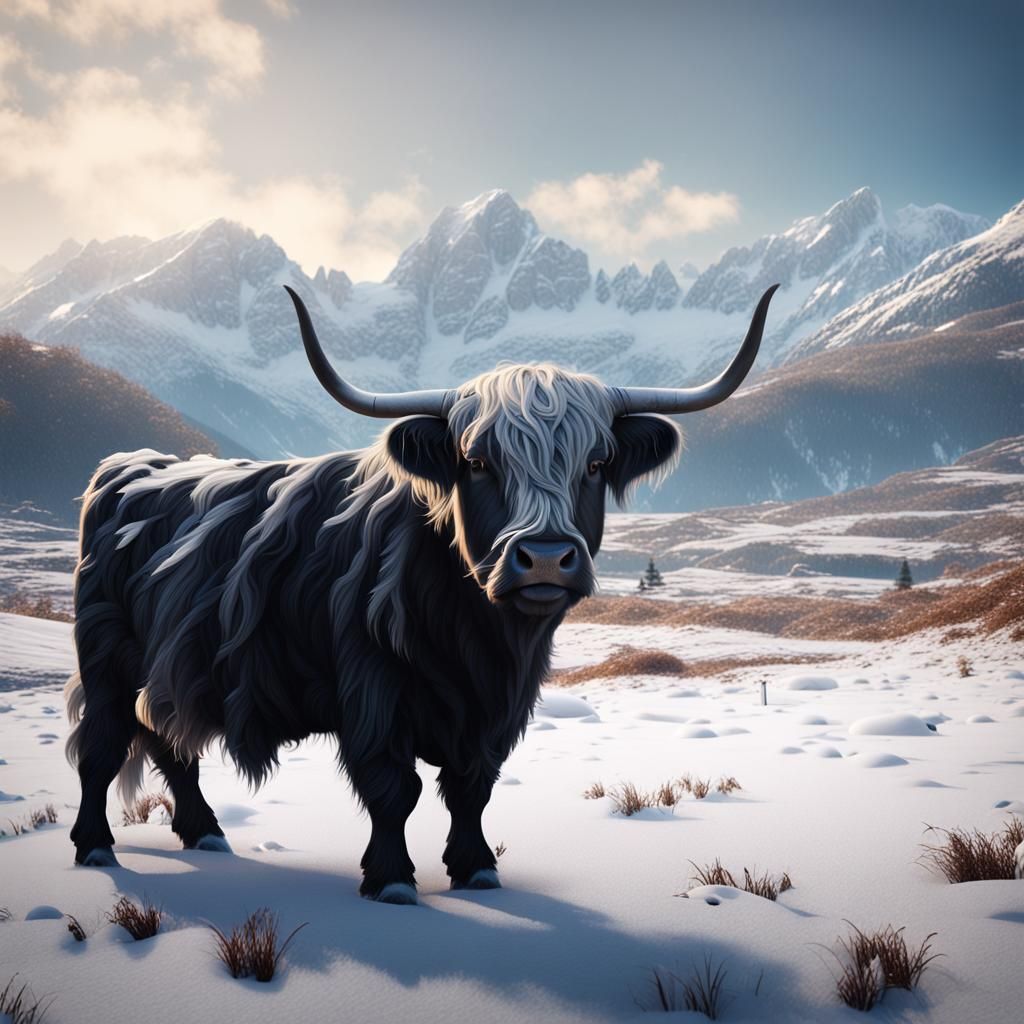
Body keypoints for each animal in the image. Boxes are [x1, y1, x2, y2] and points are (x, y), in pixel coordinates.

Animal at [65, 283, 777, 903]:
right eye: (478, 462)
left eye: (595, 465)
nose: (546, 557)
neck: (476, 638)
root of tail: (128, 466)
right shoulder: (371, 689)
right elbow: (393, 788)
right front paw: (391, 879)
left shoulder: (500, 708)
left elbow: (472, 788)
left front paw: (476, 869)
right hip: (105, 660)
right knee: (103, 744)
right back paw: (96, 846)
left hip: (162, 667)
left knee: (166, 738)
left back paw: (206, 833)